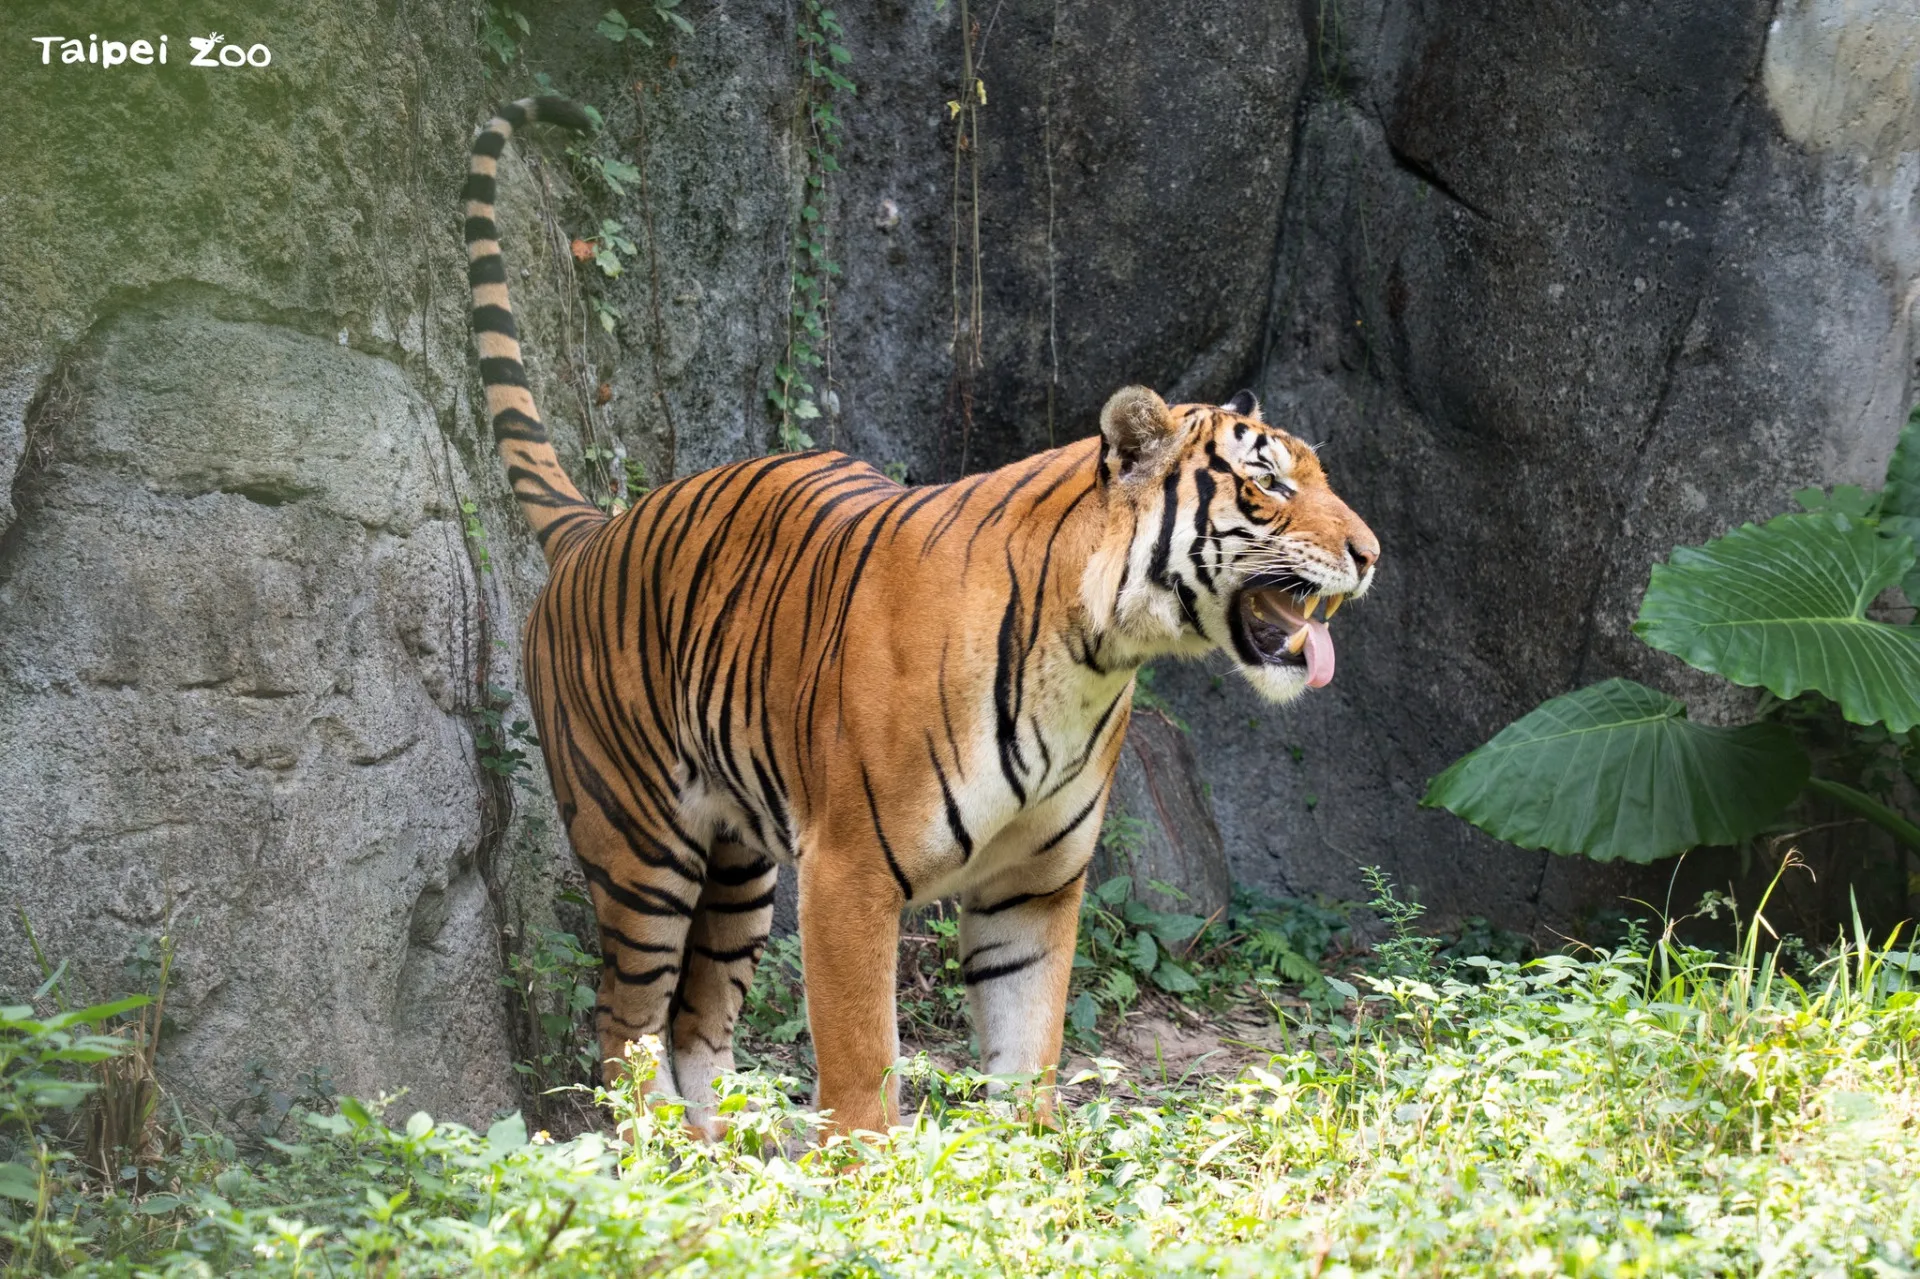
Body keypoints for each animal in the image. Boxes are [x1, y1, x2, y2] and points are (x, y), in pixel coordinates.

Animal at [463, 97, 1380, 1138]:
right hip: (639, 844)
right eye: (1269, 484)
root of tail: (595, 527)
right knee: (623, 1019)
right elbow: (863, 1069)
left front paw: (1027, 1163)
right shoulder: (848, 872)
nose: (1372, 552)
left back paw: (725, 1152)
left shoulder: (1035, 884)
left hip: (738, 867)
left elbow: (1029, 1056)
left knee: (695, 1020)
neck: (1094, 657)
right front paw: (867, 1174)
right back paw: (665, 1154)